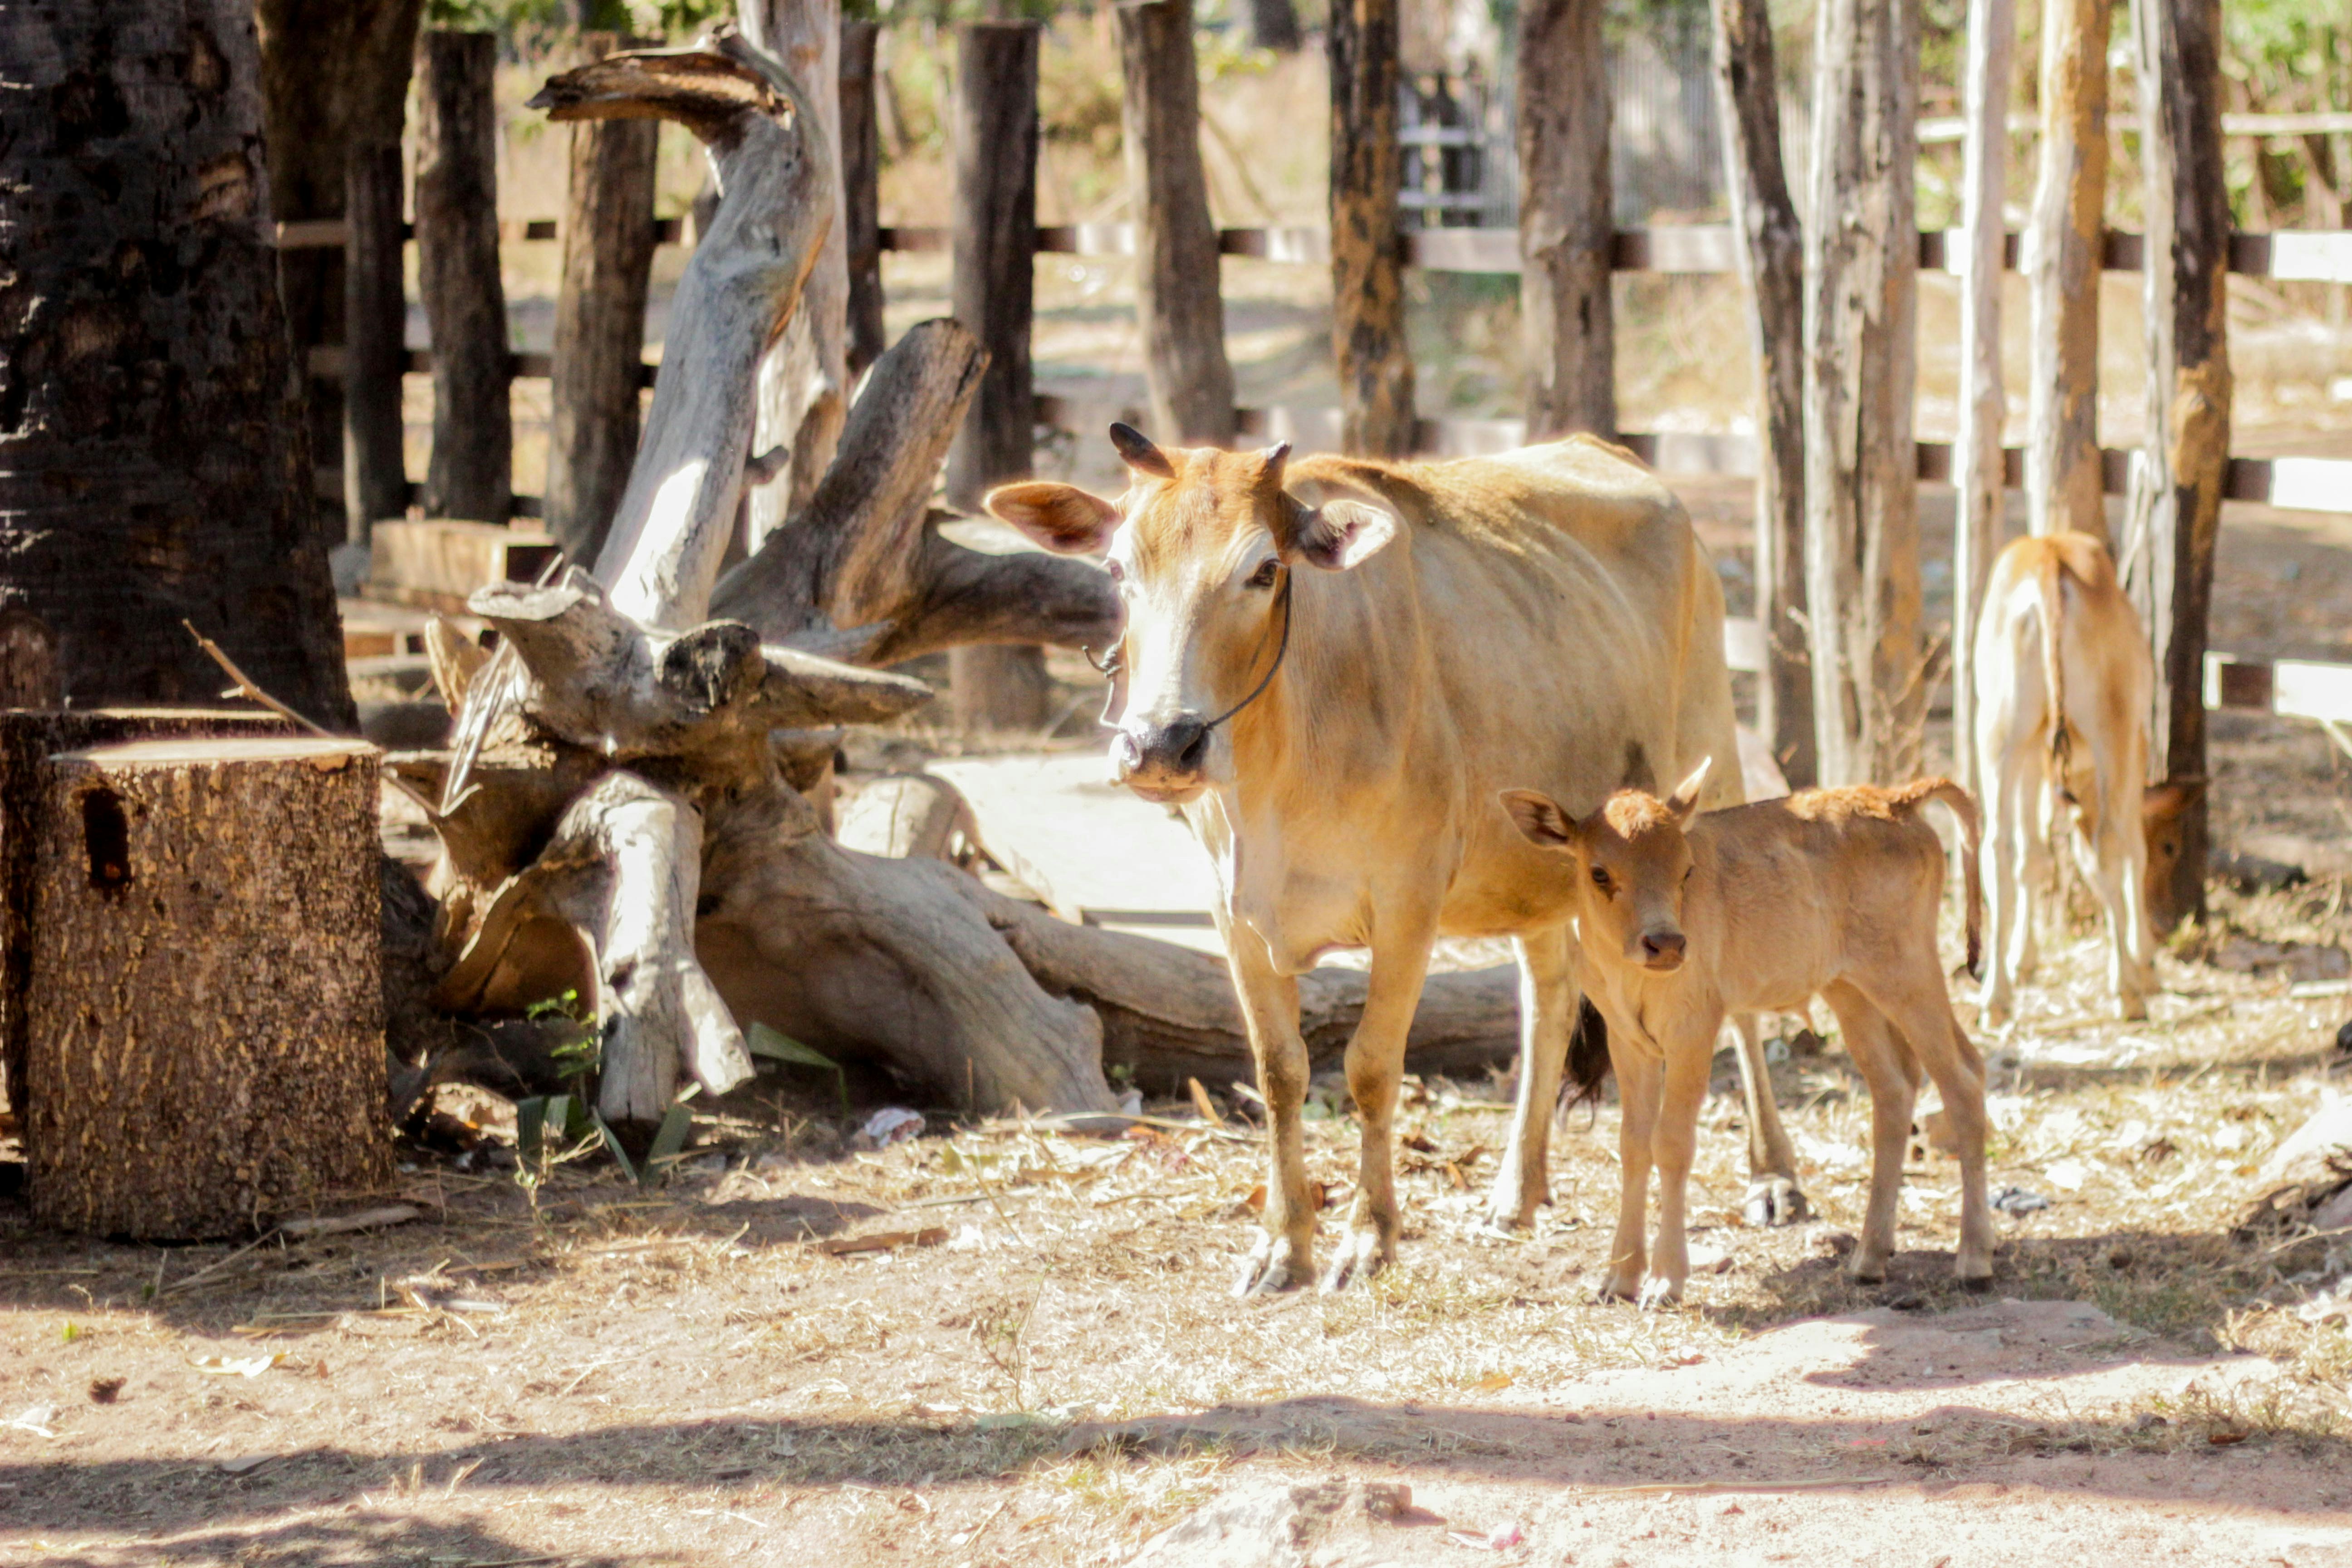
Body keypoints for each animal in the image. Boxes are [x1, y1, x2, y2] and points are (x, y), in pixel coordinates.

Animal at [983, 432, 1806, 1298]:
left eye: (1263, 570)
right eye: (1117, 571)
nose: (1160, 744)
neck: (1278, 775)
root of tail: (1608, 451)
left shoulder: (1408, 903)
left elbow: (1371, 1067)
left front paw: (1366, 1238)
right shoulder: (1231, 912)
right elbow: (1279, 1072)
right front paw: (1282, 1245)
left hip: (1711, 770)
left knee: (1739, 1008)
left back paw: (1772, 1177)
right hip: (1542, 869)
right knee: (1547, 999)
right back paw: (1516, 1189)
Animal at [1505, 771, 1985, 1298]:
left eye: (1687, 870)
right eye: (1599, 873)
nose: (1666, 944)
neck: (1629, 975)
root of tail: (1896, 800)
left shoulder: (1694, 1031)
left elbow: (1671, 1142)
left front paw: (1666, 1280)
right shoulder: (1628, 1040)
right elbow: (1633, 1144)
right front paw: (1620, 1278)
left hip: (1908, 974)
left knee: (1964, 1078)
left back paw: (1973, 1260)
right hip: (1852, 991)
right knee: (1894, 1090)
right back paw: (1869, 1258)